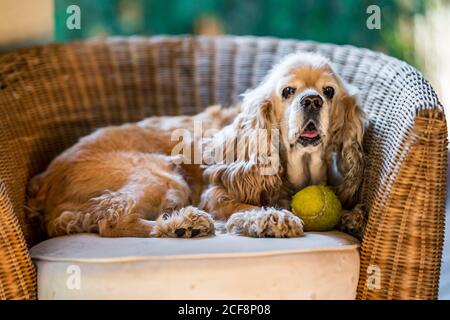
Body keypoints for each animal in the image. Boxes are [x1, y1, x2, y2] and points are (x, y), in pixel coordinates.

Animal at [27, 52, 366, 238]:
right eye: (287, 91)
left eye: (328, 91)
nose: (312, 101)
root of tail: (44, 180)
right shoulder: (215, 194)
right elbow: (245, 207)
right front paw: (272, 218)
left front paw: (352, 216)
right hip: (162, 175)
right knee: (111, 218)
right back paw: (184, 224)